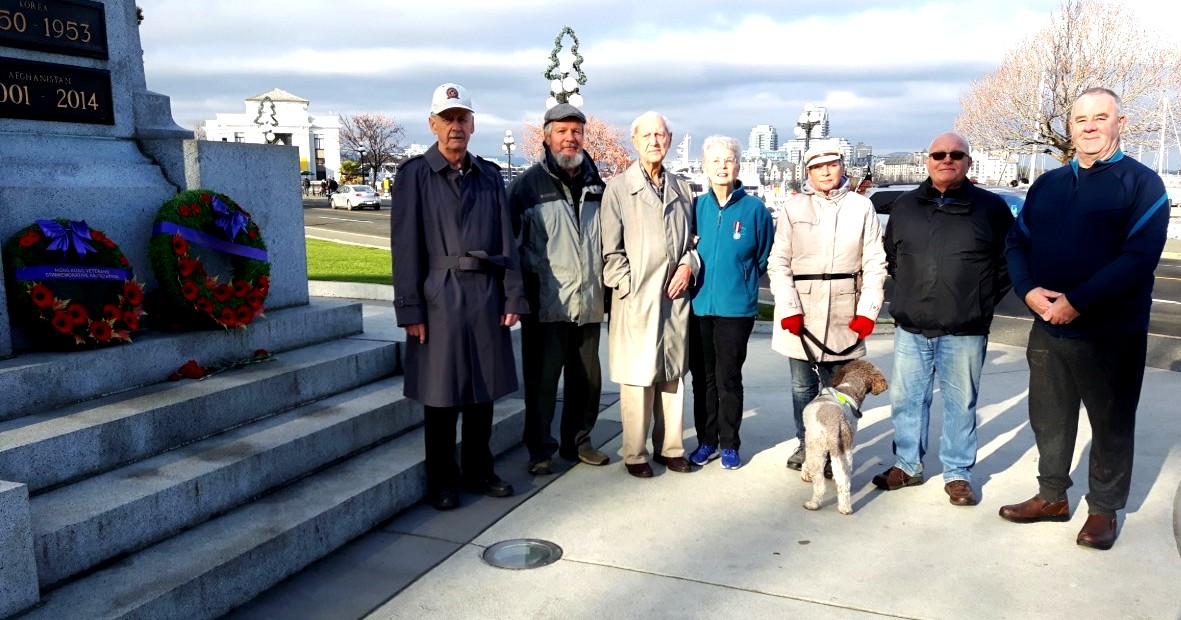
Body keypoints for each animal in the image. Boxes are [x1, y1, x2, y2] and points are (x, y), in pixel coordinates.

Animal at [798, 356, 888, 512]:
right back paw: (845, 507)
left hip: (817, 448)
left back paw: (813, 504)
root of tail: (835, 423)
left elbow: (805, 461)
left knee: (820, 485)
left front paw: (805, 473)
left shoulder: (810, 440)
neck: (849, 389)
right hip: (845, 451)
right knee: (844, 482)